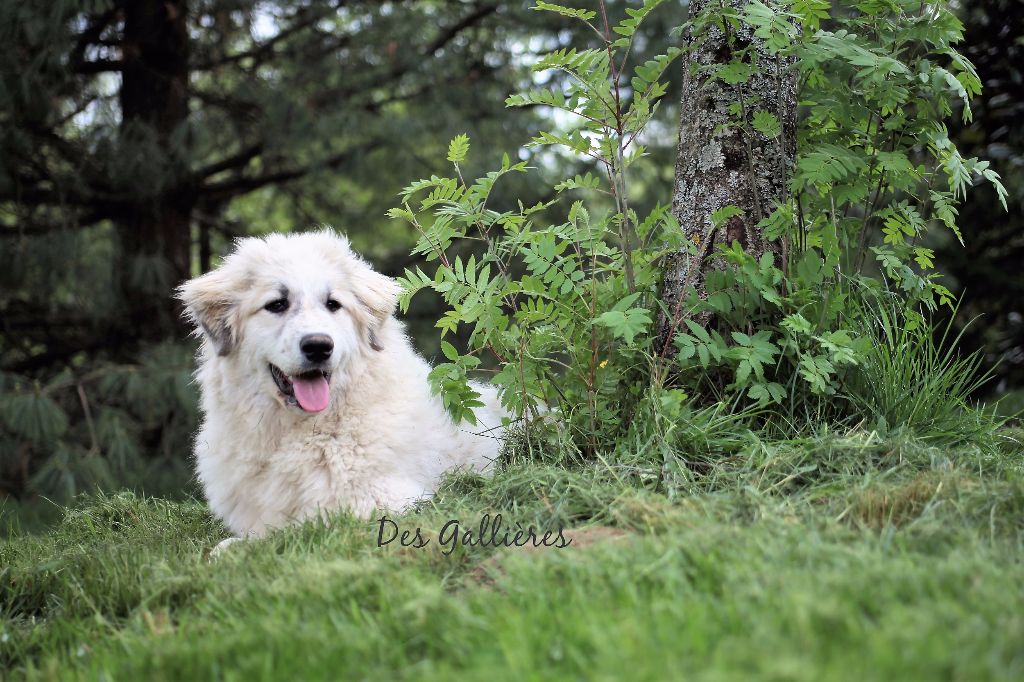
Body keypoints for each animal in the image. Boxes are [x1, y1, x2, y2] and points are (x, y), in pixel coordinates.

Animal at [177, 231, 503, 540]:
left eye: (333, 304)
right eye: (277, 305)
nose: (318, 346)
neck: (304, 432)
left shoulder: (388, 502)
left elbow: (292, 531)